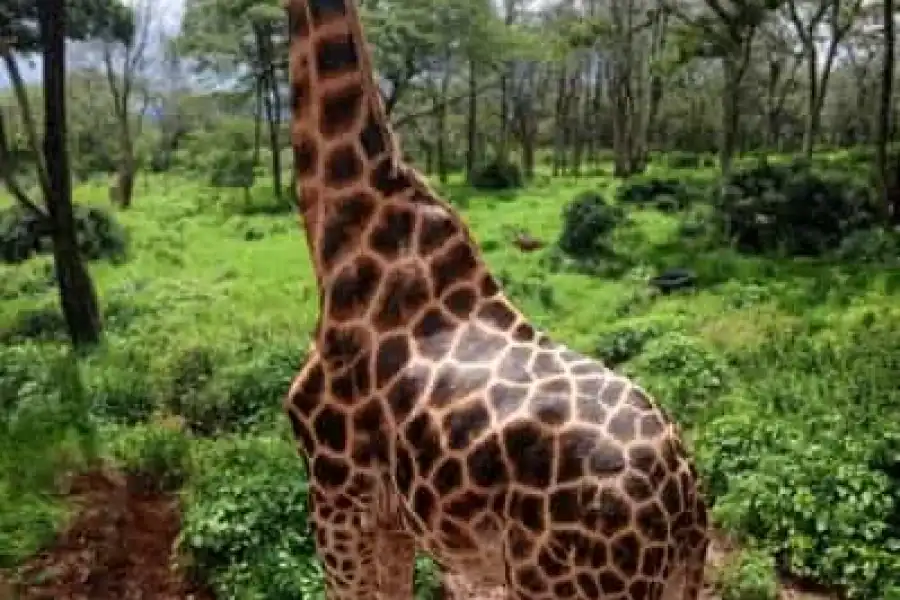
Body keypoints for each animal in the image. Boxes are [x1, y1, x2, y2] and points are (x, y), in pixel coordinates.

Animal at [281, 0, 710, 598]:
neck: (343, 239)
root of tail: (687, 504)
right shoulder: (393, 518)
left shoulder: (334, 492)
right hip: (677, 578)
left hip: (562, 582)